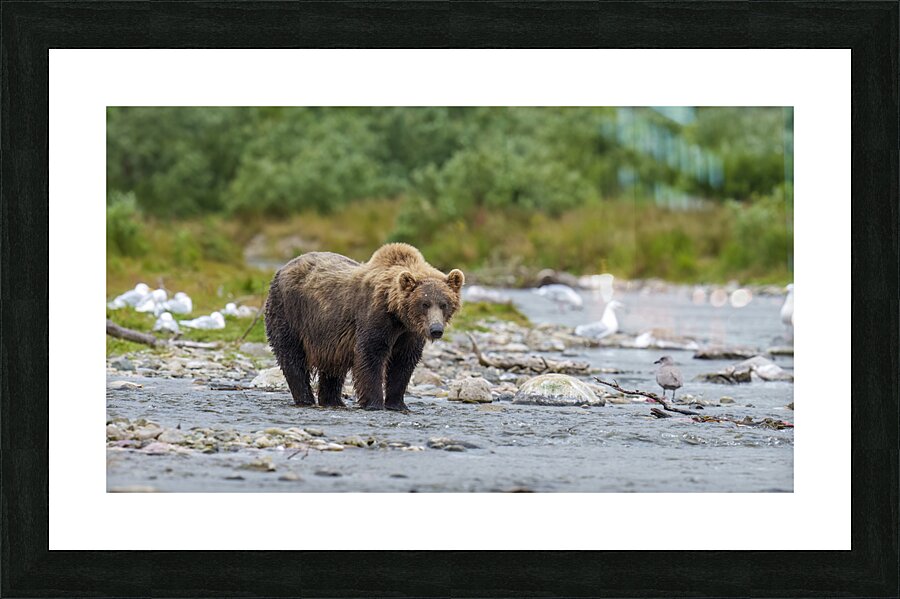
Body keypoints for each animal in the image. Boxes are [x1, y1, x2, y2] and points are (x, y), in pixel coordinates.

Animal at [264, 243, 464, 411]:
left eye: (444, 304)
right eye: (424, 303)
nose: (436, 329)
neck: (397, 315)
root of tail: (283, 267)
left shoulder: (409, 333)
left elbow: (403, 362)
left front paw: (397, 404)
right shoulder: (375, 318)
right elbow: (371, 355)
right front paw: (374, 403)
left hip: (329, 335)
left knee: (333, 367)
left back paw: (333, 401)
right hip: (289, 312)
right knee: (292, 357)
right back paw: (306, 399)